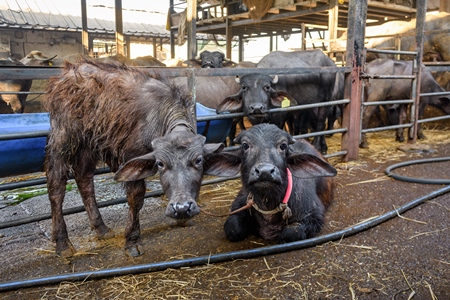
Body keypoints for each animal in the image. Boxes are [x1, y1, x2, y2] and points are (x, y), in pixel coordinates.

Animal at [45, 60, 225, 258]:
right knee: (56, 186)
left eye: (198, 161)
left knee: (84, 180)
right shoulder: (131, 156)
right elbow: (136, 198)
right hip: (63, 138)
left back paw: (101, 228)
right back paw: (62, 242)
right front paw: (132, 240)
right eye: (161, 164)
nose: (183, 208)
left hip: (88, 145)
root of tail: (66, 74)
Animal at [206, 123, 336, 243]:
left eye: (283, 145)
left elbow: (290, 233)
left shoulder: (314, 216)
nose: (265, 171)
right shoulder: (240, 204)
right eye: (245, 145)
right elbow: (233, 228)